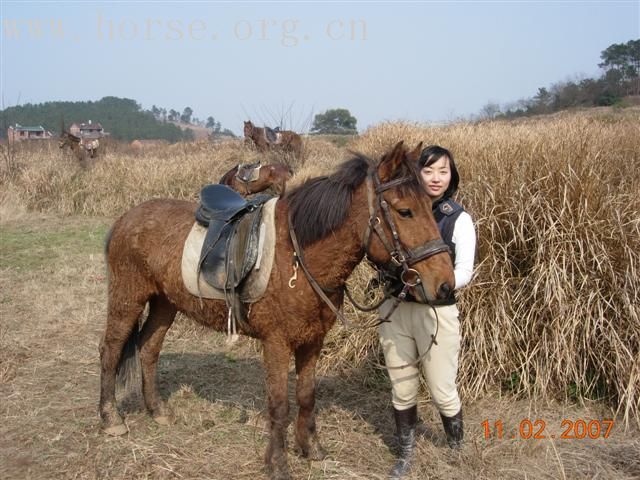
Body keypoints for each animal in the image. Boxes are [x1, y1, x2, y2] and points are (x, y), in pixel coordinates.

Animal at [97, 141, 452, 480]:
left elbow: (307, 396)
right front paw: (278, 464)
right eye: (405, 211)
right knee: (111, 350)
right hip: (127, 298)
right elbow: (279, 406)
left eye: (431, 207)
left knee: (148, 348)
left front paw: (311, 448)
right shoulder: (277, 344)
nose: (445, 285)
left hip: (164, 303)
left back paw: (157, 410)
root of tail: (127, 218)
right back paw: (111, 418)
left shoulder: (312, 341)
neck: (297, 256)